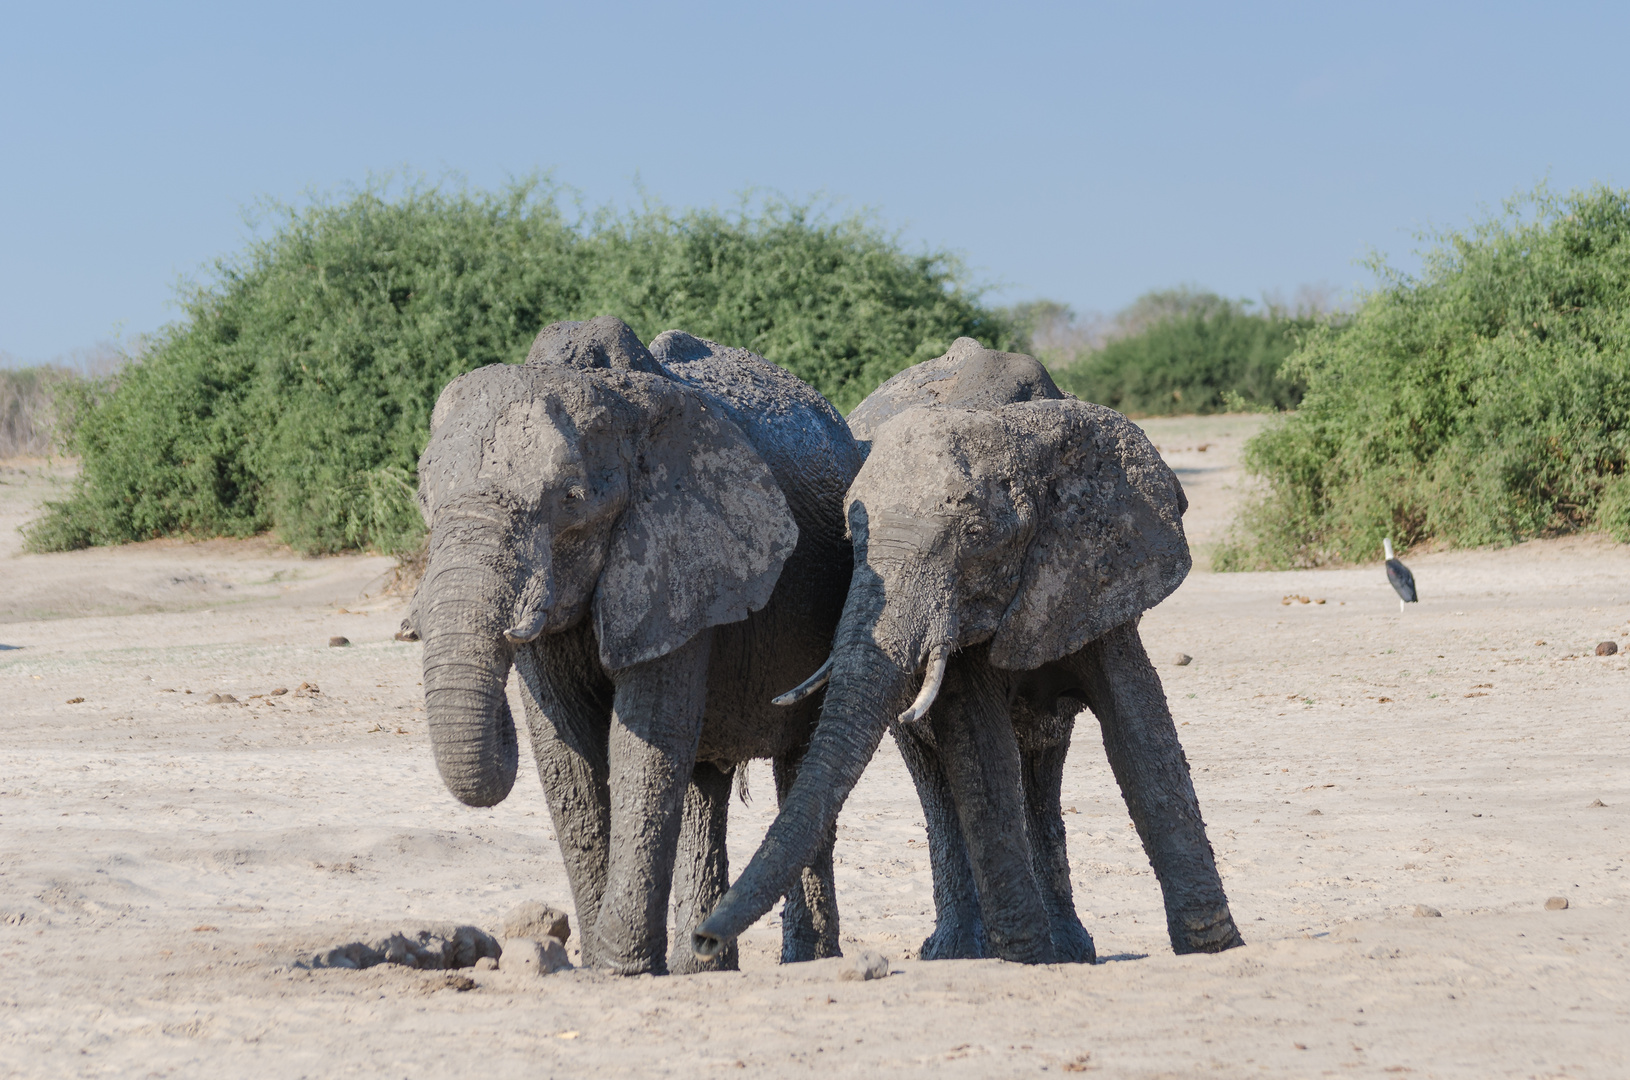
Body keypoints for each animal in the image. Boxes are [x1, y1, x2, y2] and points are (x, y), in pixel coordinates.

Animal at [402, 317, 867, 977]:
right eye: (424, 498)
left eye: (571, 499)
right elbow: (565, 750)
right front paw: (604, 965)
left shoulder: (681, 558)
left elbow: (644, 741)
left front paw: (617, 968)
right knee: (704, 783)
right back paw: (702, 966)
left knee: (797, 767)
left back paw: (803, 962)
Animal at [694, 338, 1238, 964]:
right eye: (853, 542)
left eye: (977, 538)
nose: (703, 940)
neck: (1012, 427)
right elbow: (980, 747)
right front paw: (1029, 959)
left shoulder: (1094, 563)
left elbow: (1139, 727)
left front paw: (1215, 947)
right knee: (937, 772)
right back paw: (959, 951)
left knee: (1043, 762)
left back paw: (1069, 950)